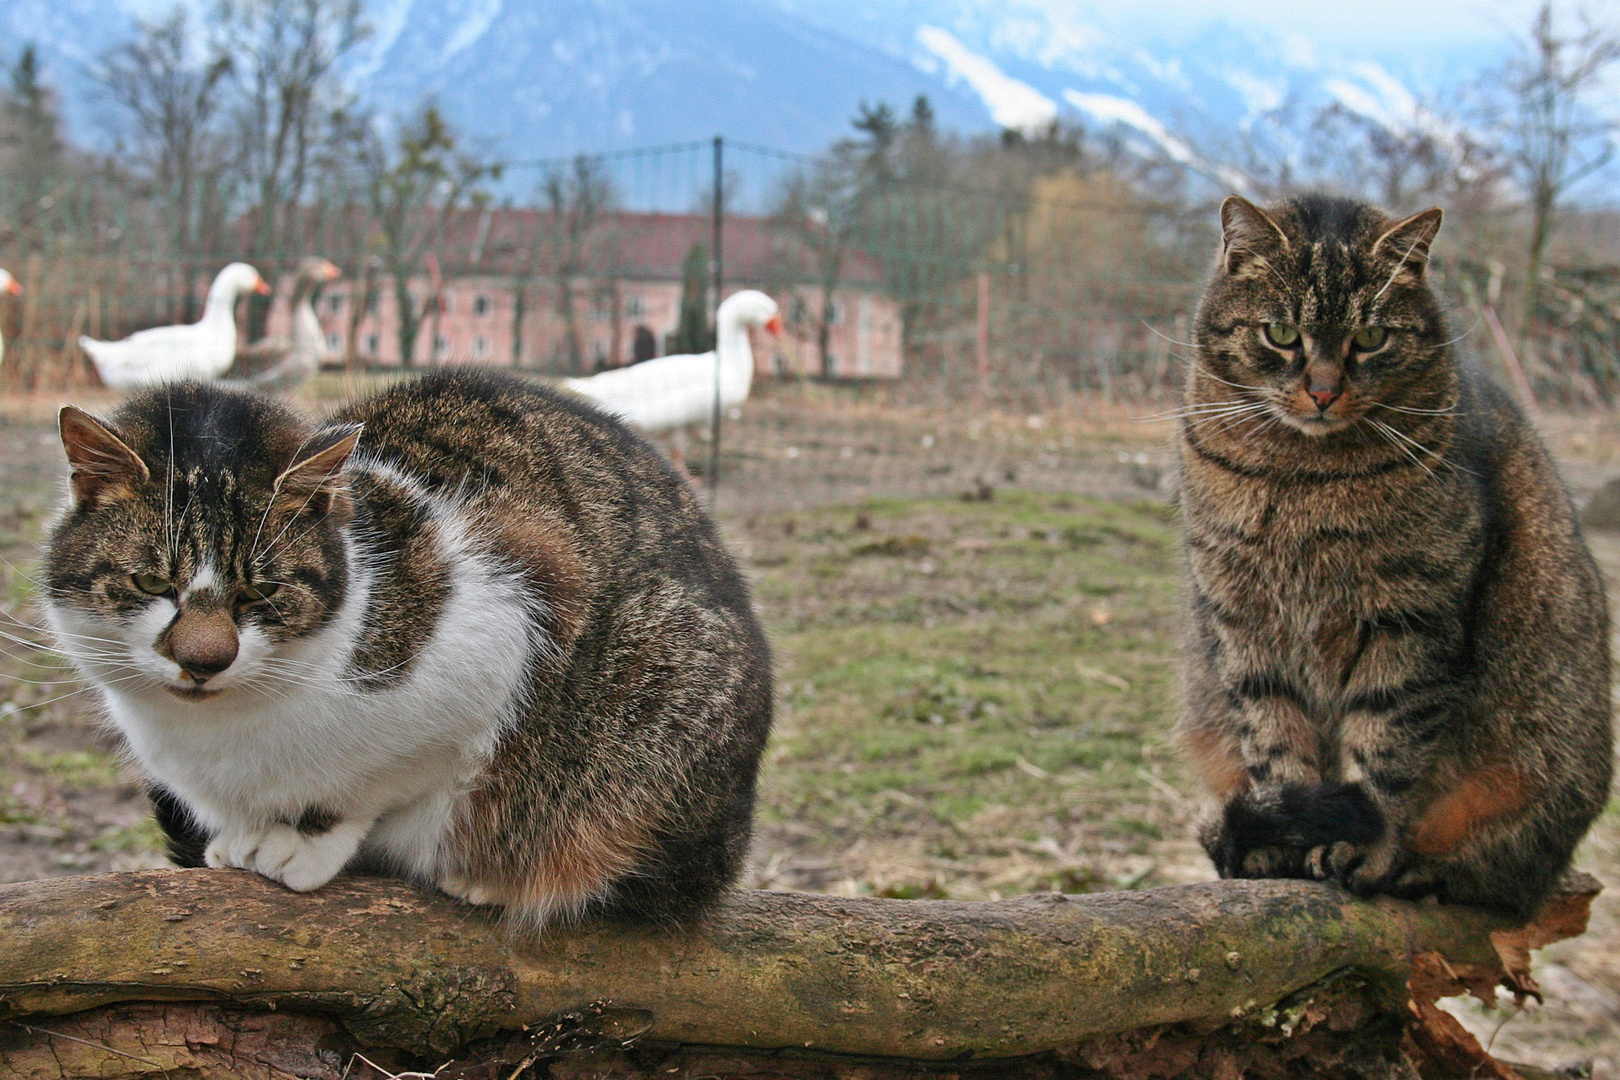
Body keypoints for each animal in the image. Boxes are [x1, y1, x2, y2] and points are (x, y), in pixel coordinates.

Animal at [41, 372, 767, 932]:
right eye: (151, 583)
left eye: (262, 591)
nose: (204, 660)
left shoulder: (508, 625)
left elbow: (376, 783)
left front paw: (297, 840)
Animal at [1179, 191, 1607, 913]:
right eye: (1282, 335)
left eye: (1371, 339)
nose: (1323, 391)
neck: (1301, 480)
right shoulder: (1245, 623)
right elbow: (1274, 739)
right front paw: (1287, 840)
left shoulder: (1410, 620)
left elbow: (1384, 750)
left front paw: (1362, 847)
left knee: (1500, 877)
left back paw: (1421, 872)